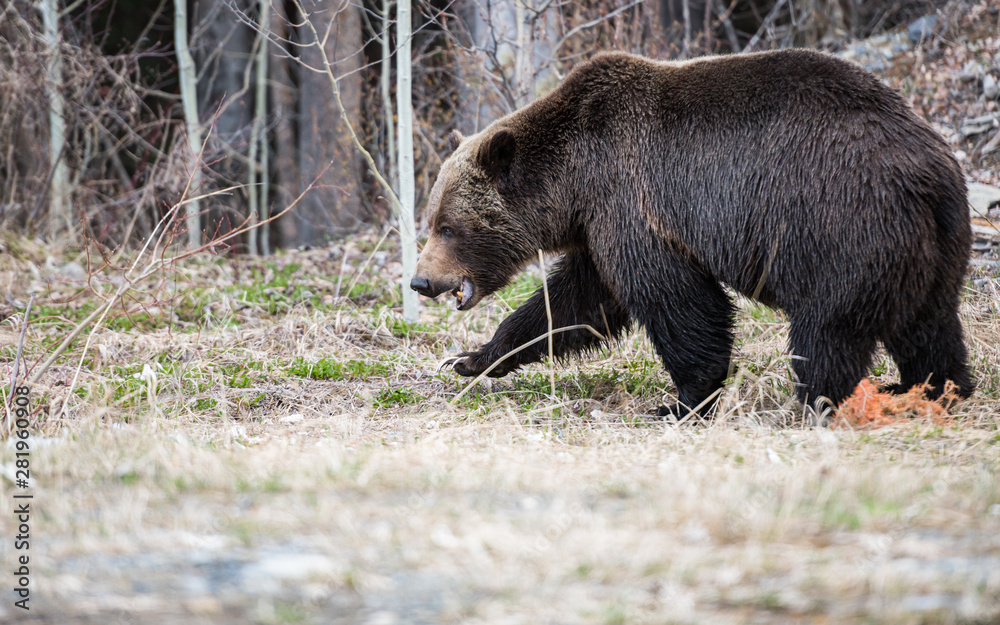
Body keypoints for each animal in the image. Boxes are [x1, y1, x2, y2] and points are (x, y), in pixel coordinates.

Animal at [410, 48, 972, 414]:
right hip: (930, 249)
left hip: (838, 229)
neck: (572, 180)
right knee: (929, 327)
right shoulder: (600, 226)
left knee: (826, 331)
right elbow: (574, 304)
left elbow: (675, 300)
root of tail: (929, 170)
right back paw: (934, 391)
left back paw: (821, 404)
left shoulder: (634, 200)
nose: (420, 281)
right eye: (432, 221)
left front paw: (683, 402)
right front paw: (471, 358)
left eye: (448, 227)